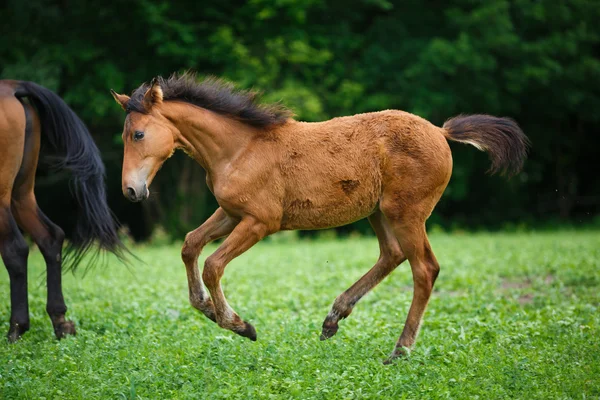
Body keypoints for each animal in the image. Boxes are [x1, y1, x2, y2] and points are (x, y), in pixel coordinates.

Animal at [0, 79, 125, 342]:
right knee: (50, 237)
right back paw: (60, 321)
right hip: (21, 193)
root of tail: (12, 87)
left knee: (15, 249)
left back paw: (16, 328)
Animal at [110, 72, 528, 362]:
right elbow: (189, 245)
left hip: (405, 213)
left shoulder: (260, 221)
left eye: (139, 135)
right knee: (392, 255)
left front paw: (240, 325)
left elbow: (212, 264)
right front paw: (208, 310)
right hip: (378, 212)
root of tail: (441, 132)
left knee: (424, 268)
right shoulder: (231, 213)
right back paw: (334, 318)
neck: (239, 149)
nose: (131, 191)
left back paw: (399, 350)